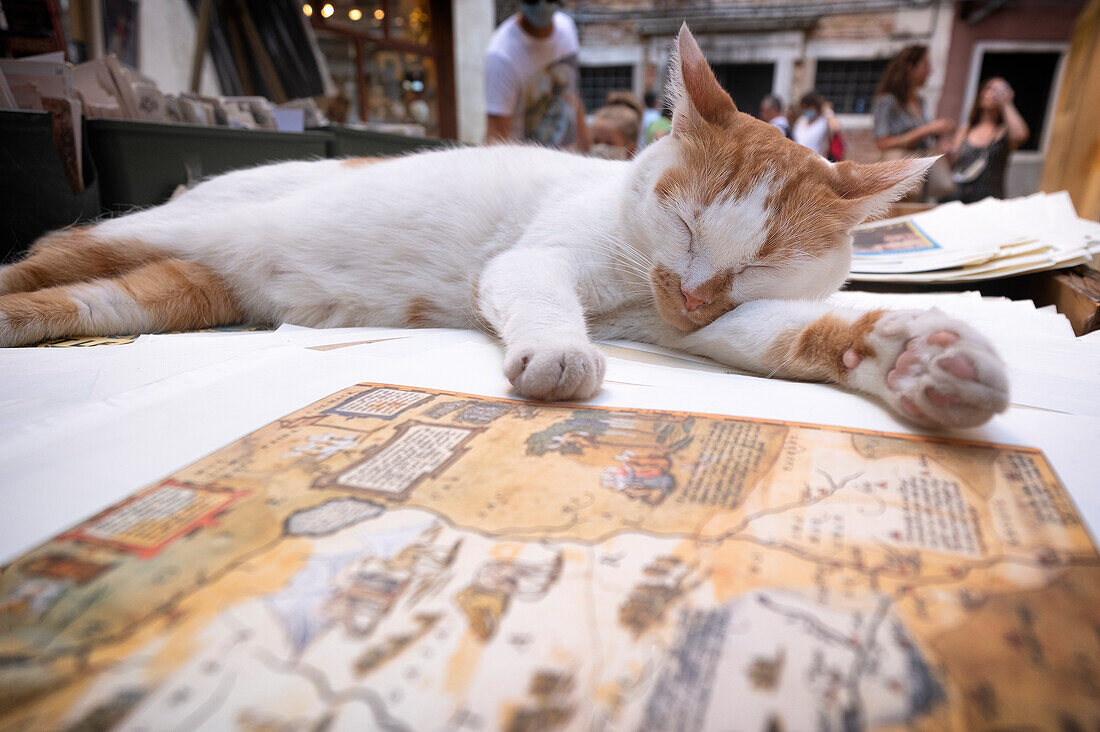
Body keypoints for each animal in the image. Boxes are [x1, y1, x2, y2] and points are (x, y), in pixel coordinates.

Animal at [0, 27, 1007, 429]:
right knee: (35, 262)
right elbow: (545, 301)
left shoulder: (712, 327)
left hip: (162, 296)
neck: (639, 288)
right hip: (131, 239)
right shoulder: (539, 264)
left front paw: (923, 360)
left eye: (759, 261)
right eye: (683, 222)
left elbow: (804, 332)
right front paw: (562, 355)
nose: (688, 292)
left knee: (66, 305)